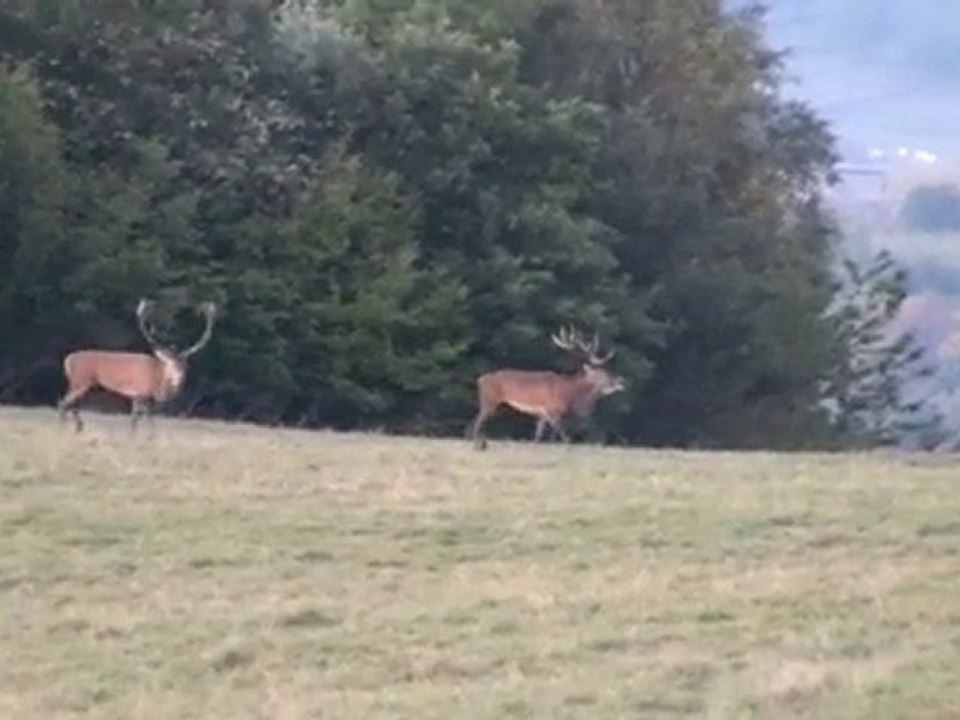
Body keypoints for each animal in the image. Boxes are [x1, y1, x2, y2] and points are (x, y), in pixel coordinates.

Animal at [58, 299, 217, 432]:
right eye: (169, 363)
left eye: (184, 364)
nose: (178, 377)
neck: (158, 381)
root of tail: (67, 360)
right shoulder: (141, 393)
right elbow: (137, 419)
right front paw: (137, 437)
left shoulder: (145, 399)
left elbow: (145, 419)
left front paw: (147, 437)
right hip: (81, 380)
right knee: (63, 403)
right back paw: (64, 429)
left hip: (81, 383)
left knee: (73, 405)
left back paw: (79, 428)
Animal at [467, 326, 626, 449]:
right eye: (603, 374)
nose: (620, 381)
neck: (571, 393)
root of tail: (480, 380)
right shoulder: (553, 409)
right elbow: (561, 434)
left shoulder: (543, 412)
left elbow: (539, 433)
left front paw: (535, 444)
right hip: (490, 401)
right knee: (477, 422)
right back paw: (478, 444)